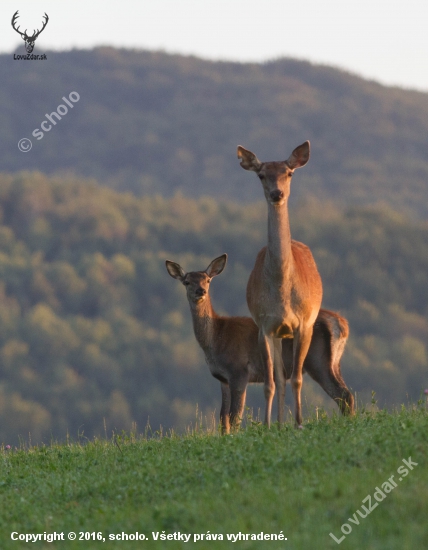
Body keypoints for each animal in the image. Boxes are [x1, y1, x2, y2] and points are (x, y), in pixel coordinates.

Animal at [164, 256, 352, 436]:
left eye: (208, 280)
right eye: (187, 281)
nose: (200, 291)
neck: (216, 339)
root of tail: (342, 324)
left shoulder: (239, 371)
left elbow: (235, 416)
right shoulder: (223, 378)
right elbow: (223, 416)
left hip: (318, 361)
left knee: (343, 395)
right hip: (334, 362)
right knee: (346, 396)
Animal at [236, 140, 322, 430]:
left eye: (289, 173)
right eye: (261, 175)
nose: (277, 193)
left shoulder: (304, 323)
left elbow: (298, 378)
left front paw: (300, 423)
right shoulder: (265, 326)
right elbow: (271, 383)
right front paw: (267, 424)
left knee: (290, 377)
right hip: (277, 336)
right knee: (280, 379)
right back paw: (280, 422)